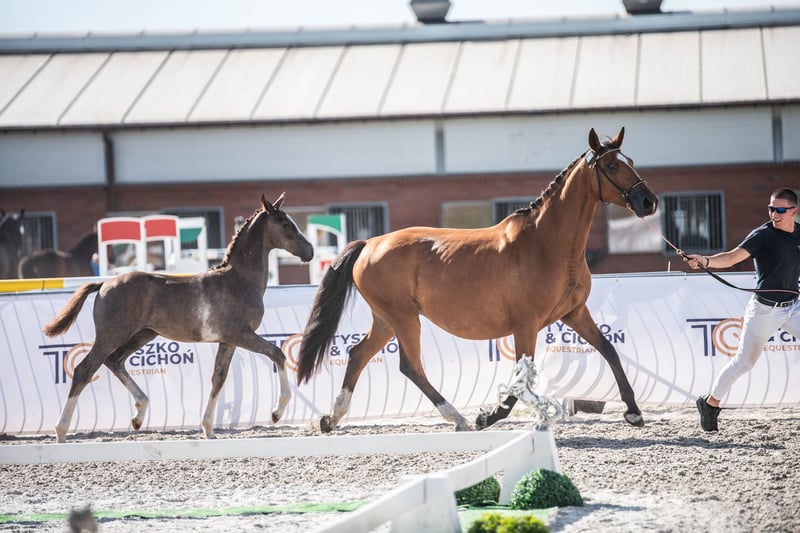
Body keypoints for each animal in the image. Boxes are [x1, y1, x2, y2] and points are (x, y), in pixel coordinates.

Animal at [43, 193, 313, 442]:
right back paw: (61, 431)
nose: (309, 251)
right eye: (285, 223)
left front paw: (208, 429)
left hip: (143, 334)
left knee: (115, 361)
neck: (239, 280)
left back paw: (139, 415)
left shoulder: (227, 340)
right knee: (84, 370)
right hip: (111, 336)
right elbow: (277, 353)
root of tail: (103, 284)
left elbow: (218, 378)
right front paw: (277, 413)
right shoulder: (242, 334)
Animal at [297, 127, 658, 433]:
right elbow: (521, 378)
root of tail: (369, 244)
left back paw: (331, 418)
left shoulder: (574, 313)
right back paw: (457, 417)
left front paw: (633, 412)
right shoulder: (526, 324)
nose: (648, 201)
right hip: (404, 317)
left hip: (386, 319)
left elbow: (609, 350)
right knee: (410, 366)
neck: (548, 244)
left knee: (358, 354)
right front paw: (489, 416)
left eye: (630, 161)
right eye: (610, 165)